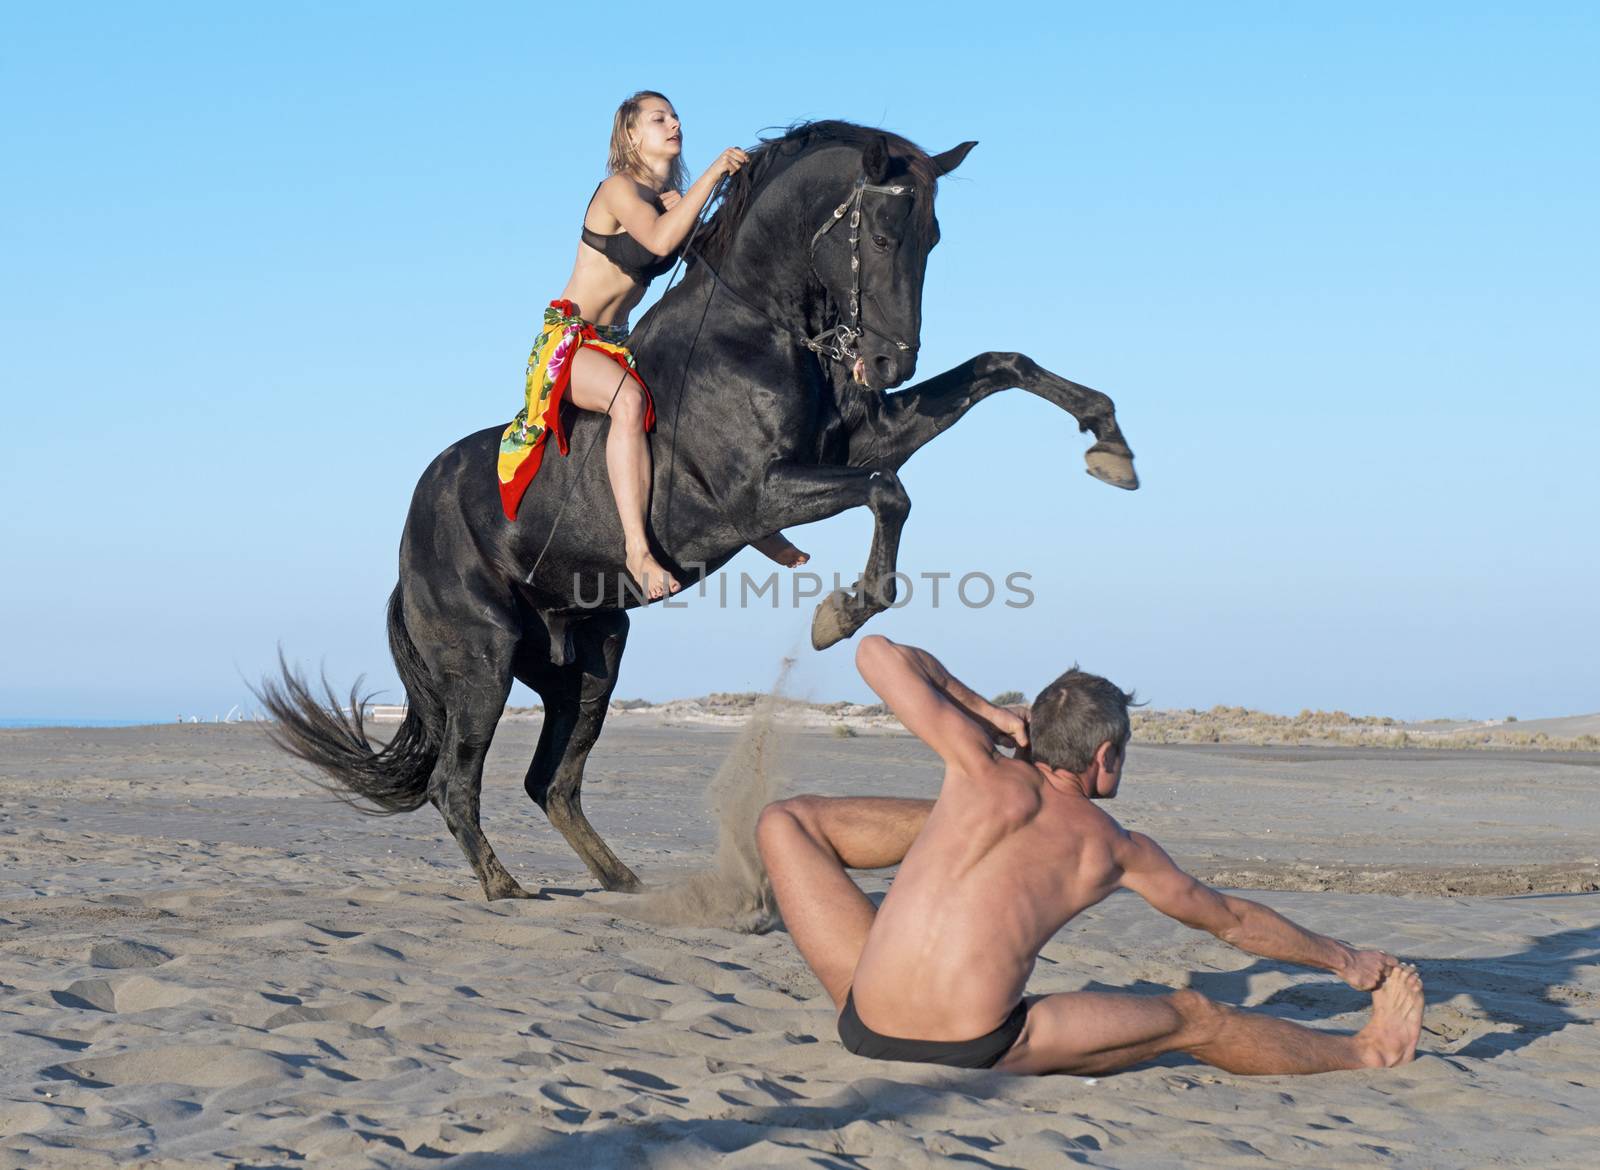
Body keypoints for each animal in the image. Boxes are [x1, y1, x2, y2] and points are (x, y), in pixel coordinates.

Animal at [262, 119, 1139, 902]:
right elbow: (890, 492)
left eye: (934, 239)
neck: (755, 328)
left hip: (589, 662)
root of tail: (410, 539)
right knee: (456, 779)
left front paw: (1109, 443)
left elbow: (999, 368)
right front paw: (842, 614)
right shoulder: (758, 496)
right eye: (888, 235)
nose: (890, 363)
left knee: (552, 781)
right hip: (484, 661)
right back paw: (503, 884)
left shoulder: (864, 437)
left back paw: (620, 879)